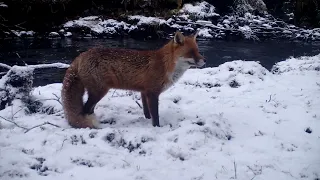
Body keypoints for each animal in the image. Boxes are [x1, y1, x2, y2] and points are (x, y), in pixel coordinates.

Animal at [60, 31, 205, 129]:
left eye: (198, 51)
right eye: (190, 53)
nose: (204, 61)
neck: (165, 65)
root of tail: (81, 55)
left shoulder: (144, 92)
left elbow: (147, 112)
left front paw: (147, 121)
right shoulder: (152, 92)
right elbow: (155, 115)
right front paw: (157, 128)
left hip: (96, 93)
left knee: (89, 110)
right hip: (99, 92)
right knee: (85, 110)